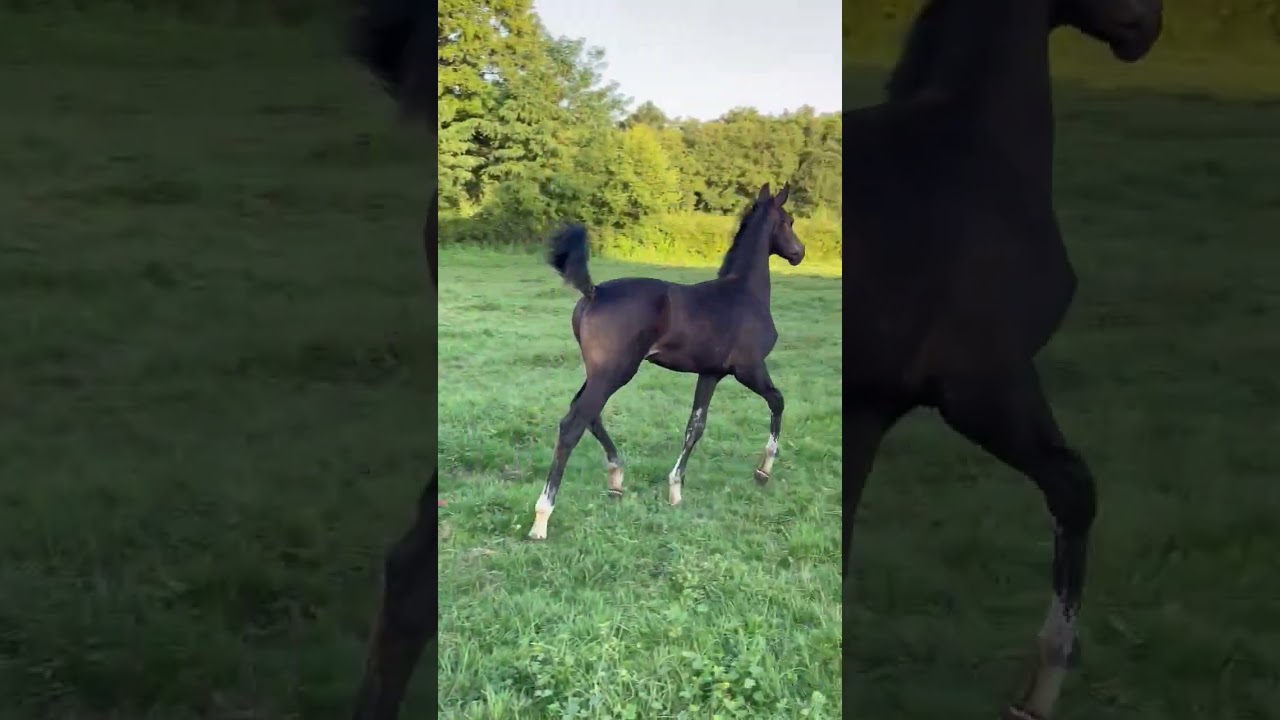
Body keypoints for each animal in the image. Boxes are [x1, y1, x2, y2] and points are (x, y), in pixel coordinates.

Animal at [528, 182, 806, 541]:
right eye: (789, 221)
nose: (799, 253)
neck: (745, 294)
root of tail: (594, 292)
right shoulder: (749, 369)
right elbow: (778, 401)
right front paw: (763, 470)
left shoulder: (710, 373)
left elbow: (695, 426)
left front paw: (675, 490)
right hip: (616, 372)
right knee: (573, 424)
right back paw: (542, 517)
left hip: (601, 371)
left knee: (587, 414)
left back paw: (616, 478)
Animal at [845, 0, 1162, 718]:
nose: (1147, 26)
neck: (973, 149)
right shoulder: (984, 386)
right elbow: (1075, 489)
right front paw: (1037, 689)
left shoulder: (869, 407)